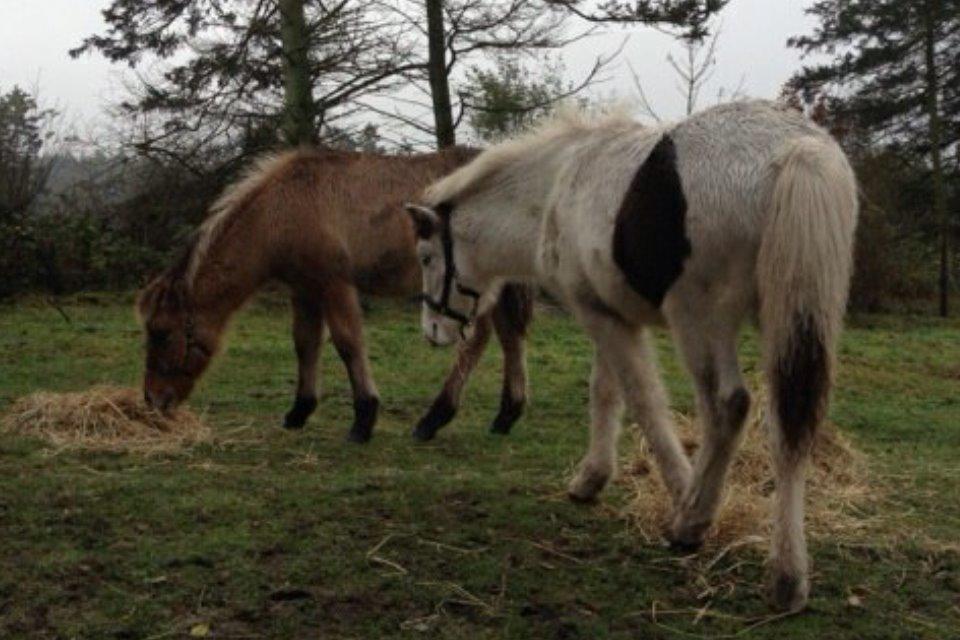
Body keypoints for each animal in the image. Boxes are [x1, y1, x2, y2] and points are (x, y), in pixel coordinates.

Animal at [137, 148, 532, 442]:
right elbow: (305, 343)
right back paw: (506, 415)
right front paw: (300, 410)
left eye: (162, 334)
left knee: (477, 340)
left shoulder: (334, 284)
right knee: (509, 337)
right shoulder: (305, 289)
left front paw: (364, 418)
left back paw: (434, 418)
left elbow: (347, 343)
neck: (281, 210)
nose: (153, 401)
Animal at [404, 100, 856, 608]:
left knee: (728, 407)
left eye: (426, 257)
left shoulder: (598, 314)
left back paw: (692, 523)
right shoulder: (610, 313)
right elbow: (607, 391)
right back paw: (788, 576)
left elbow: (642, 400)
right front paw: (593, 478)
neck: (558, 186)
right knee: (791, 426)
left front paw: (681, 491)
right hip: (792, 320)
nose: (433, 331)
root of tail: (796, 148)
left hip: (700, 320)